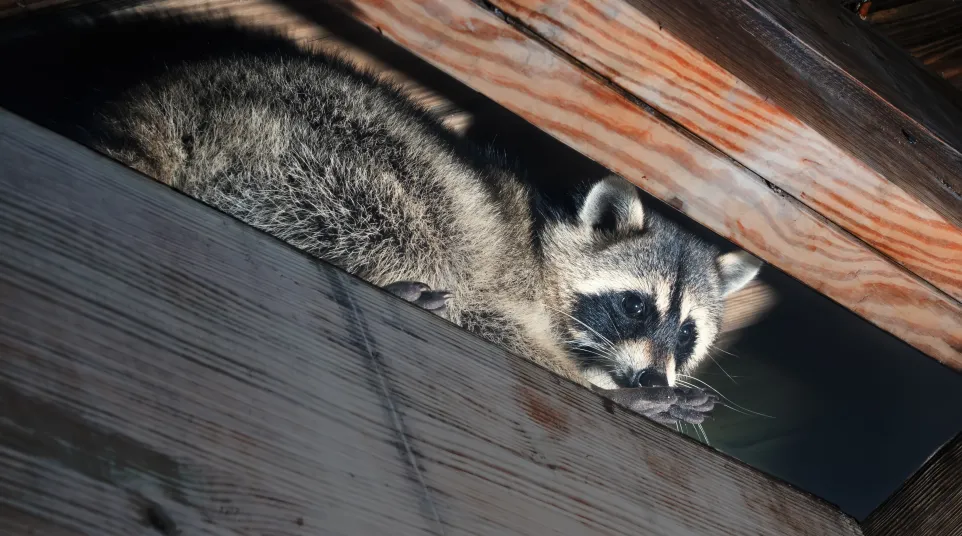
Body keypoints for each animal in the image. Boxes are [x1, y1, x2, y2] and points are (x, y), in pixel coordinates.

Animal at [0, 12, 760, 426]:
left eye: (687, 332)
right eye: (634, 307)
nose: (654, 381)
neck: (543, 248)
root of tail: (171, 93)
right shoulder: (503, 277)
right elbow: (491, 318)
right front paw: (602, 387)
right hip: (317, 149)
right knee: (404, 217)